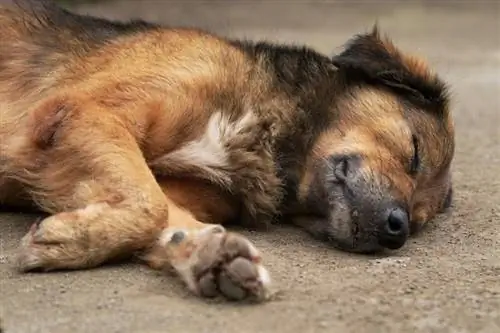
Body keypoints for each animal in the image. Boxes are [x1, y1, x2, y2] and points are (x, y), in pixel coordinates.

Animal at [0, 0, 454, 300]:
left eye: (418, 219)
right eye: (414, 153)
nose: (398, 229)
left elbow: (164, 213)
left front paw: (210, 254)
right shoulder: (81, 111)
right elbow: (150, 207)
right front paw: (72, 241)